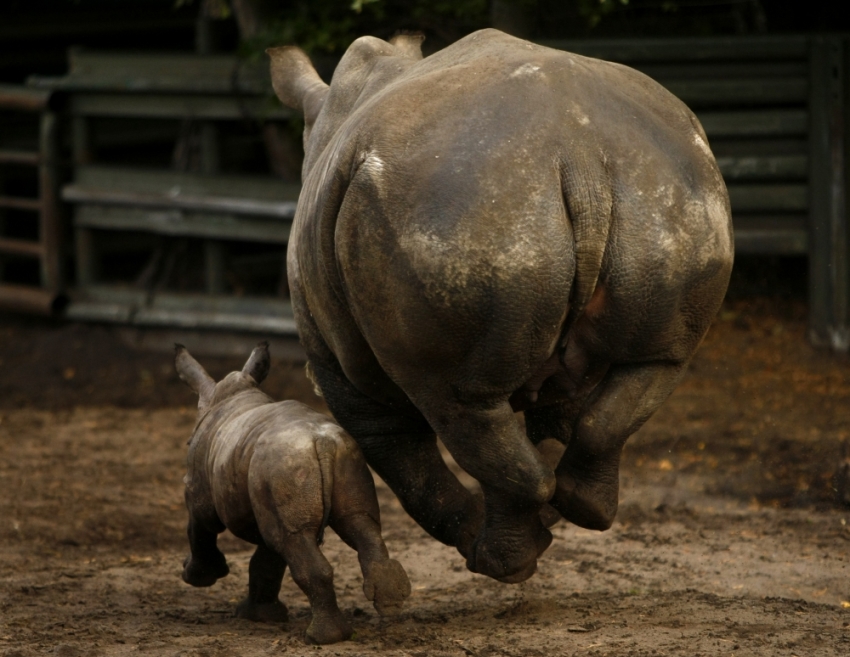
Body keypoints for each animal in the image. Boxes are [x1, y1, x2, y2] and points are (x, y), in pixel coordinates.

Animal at [176, 342, 410, 644]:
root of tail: (322, 441)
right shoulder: (264, 494)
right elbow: (268, 561)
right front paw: (261, 616)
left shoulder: (199, 489)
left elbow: (200, 528)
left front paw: (198, 576)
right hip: (338, 458)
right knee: (358, 525)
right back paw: (389, 609)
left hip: (285, 464)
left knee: (294, 540)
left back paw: (321, 638)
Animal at [267, 29, 734, 584]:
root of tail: (580, 158)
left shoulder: (337, 365)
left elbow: (402, 456)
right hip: (666, 194)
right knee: (657, 363)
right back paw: (577, 509)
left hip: (453, 212)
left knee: (459, 403)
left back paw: (501, 560)